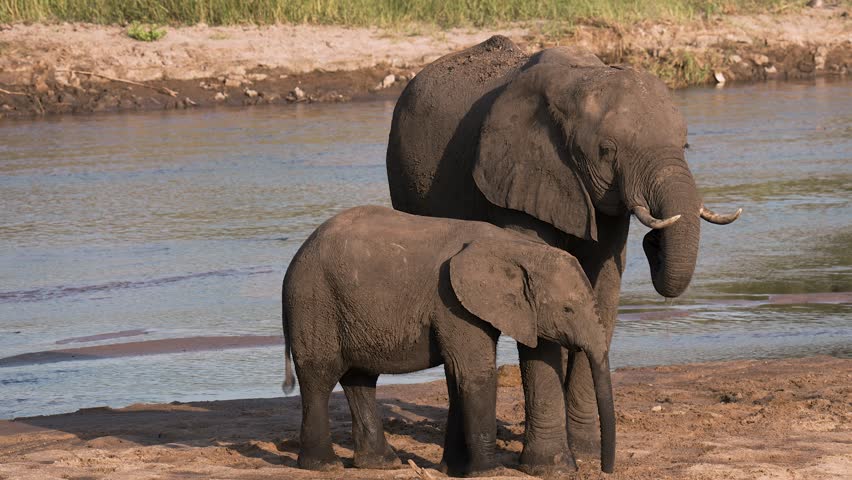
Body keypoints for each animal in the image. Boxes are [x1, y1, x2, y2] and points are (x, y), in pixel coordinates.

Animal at [281, 205, 616, 476]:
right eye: (568, 309)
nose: (605, 469)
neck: (516, 248)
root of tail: (300, 251)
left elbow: (458, 377)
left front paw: (453, 470)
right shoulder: (451, 300)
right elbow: (474, 373)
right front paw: (488, 473)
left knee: (360, 379)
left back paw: (381, 464)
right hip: (314, 301)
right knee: (319, 376)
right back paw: (324, 465)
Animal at [385, 35, 741, 473]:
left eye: (685, 145)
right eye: (607, 150)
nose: (653, 243)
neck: (581, 81)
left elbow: (603, 292)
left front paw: (586, 452)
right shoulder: (519, 176)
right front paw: (551, 466)